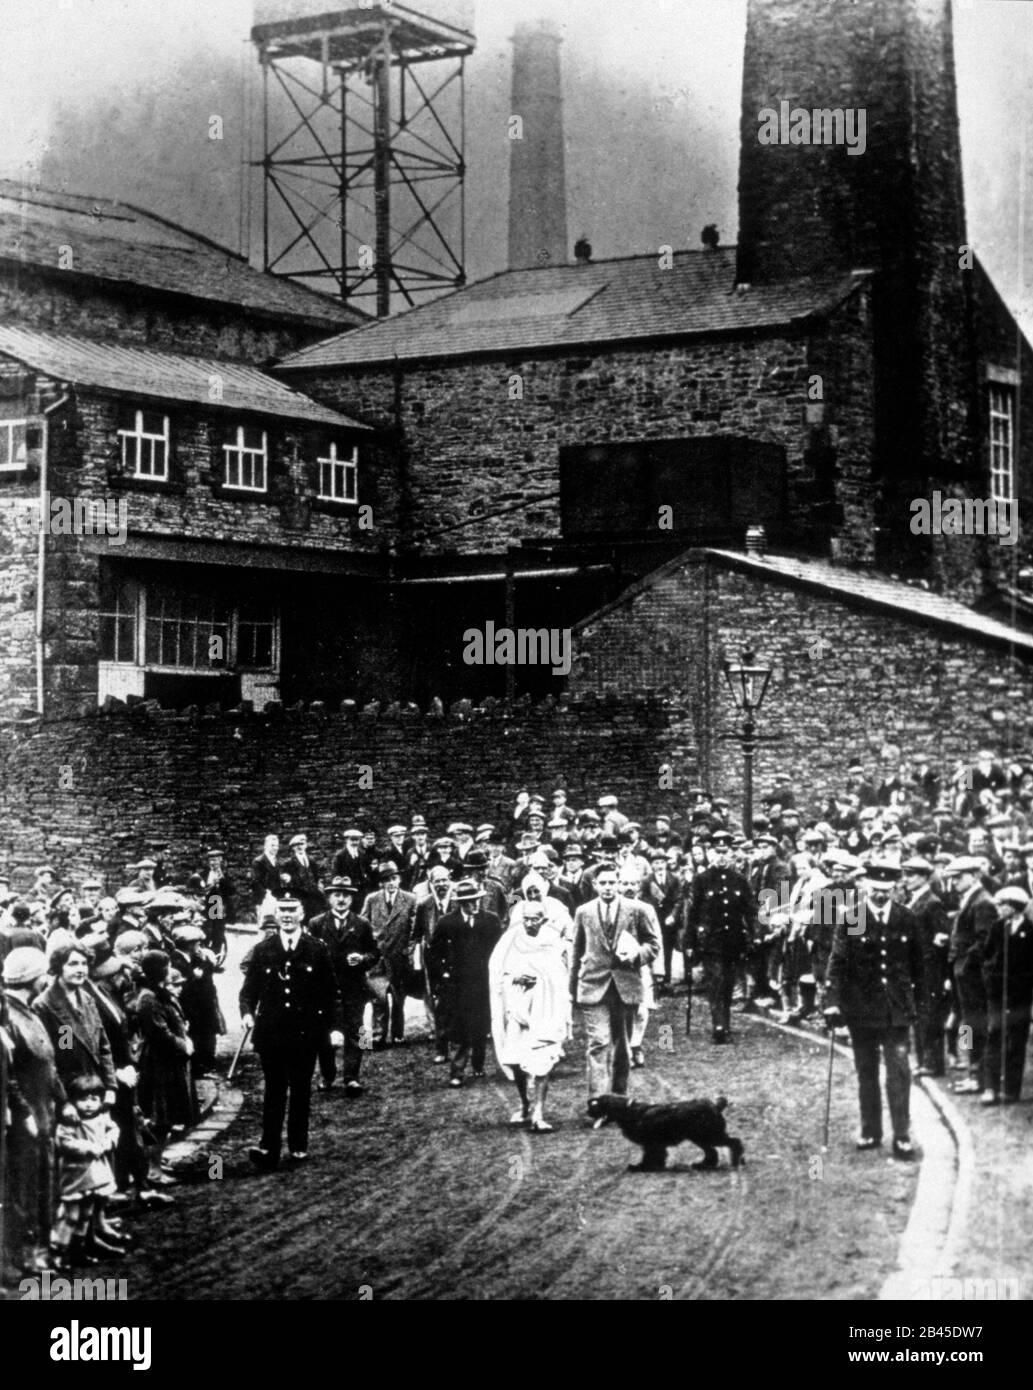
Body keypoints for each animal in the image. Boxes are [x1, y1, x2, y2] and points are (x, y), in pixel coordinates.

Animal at [586, 1095, 745, 1173]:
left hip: (709, 1135)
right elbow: (657, 1156)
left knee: (734, 1142)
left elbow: (649, 1156)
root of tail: (715, 1106)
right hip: (700, 1137)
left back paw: (736, 1161)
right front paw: (654, 1166)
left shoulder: (650, 1143)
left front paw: (640, 1167)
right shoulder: (655, 1144)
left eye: (597, 1105)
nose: (586, 1112)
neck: (628, 1111)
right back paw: (702, 1165)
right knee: (712, 1152)